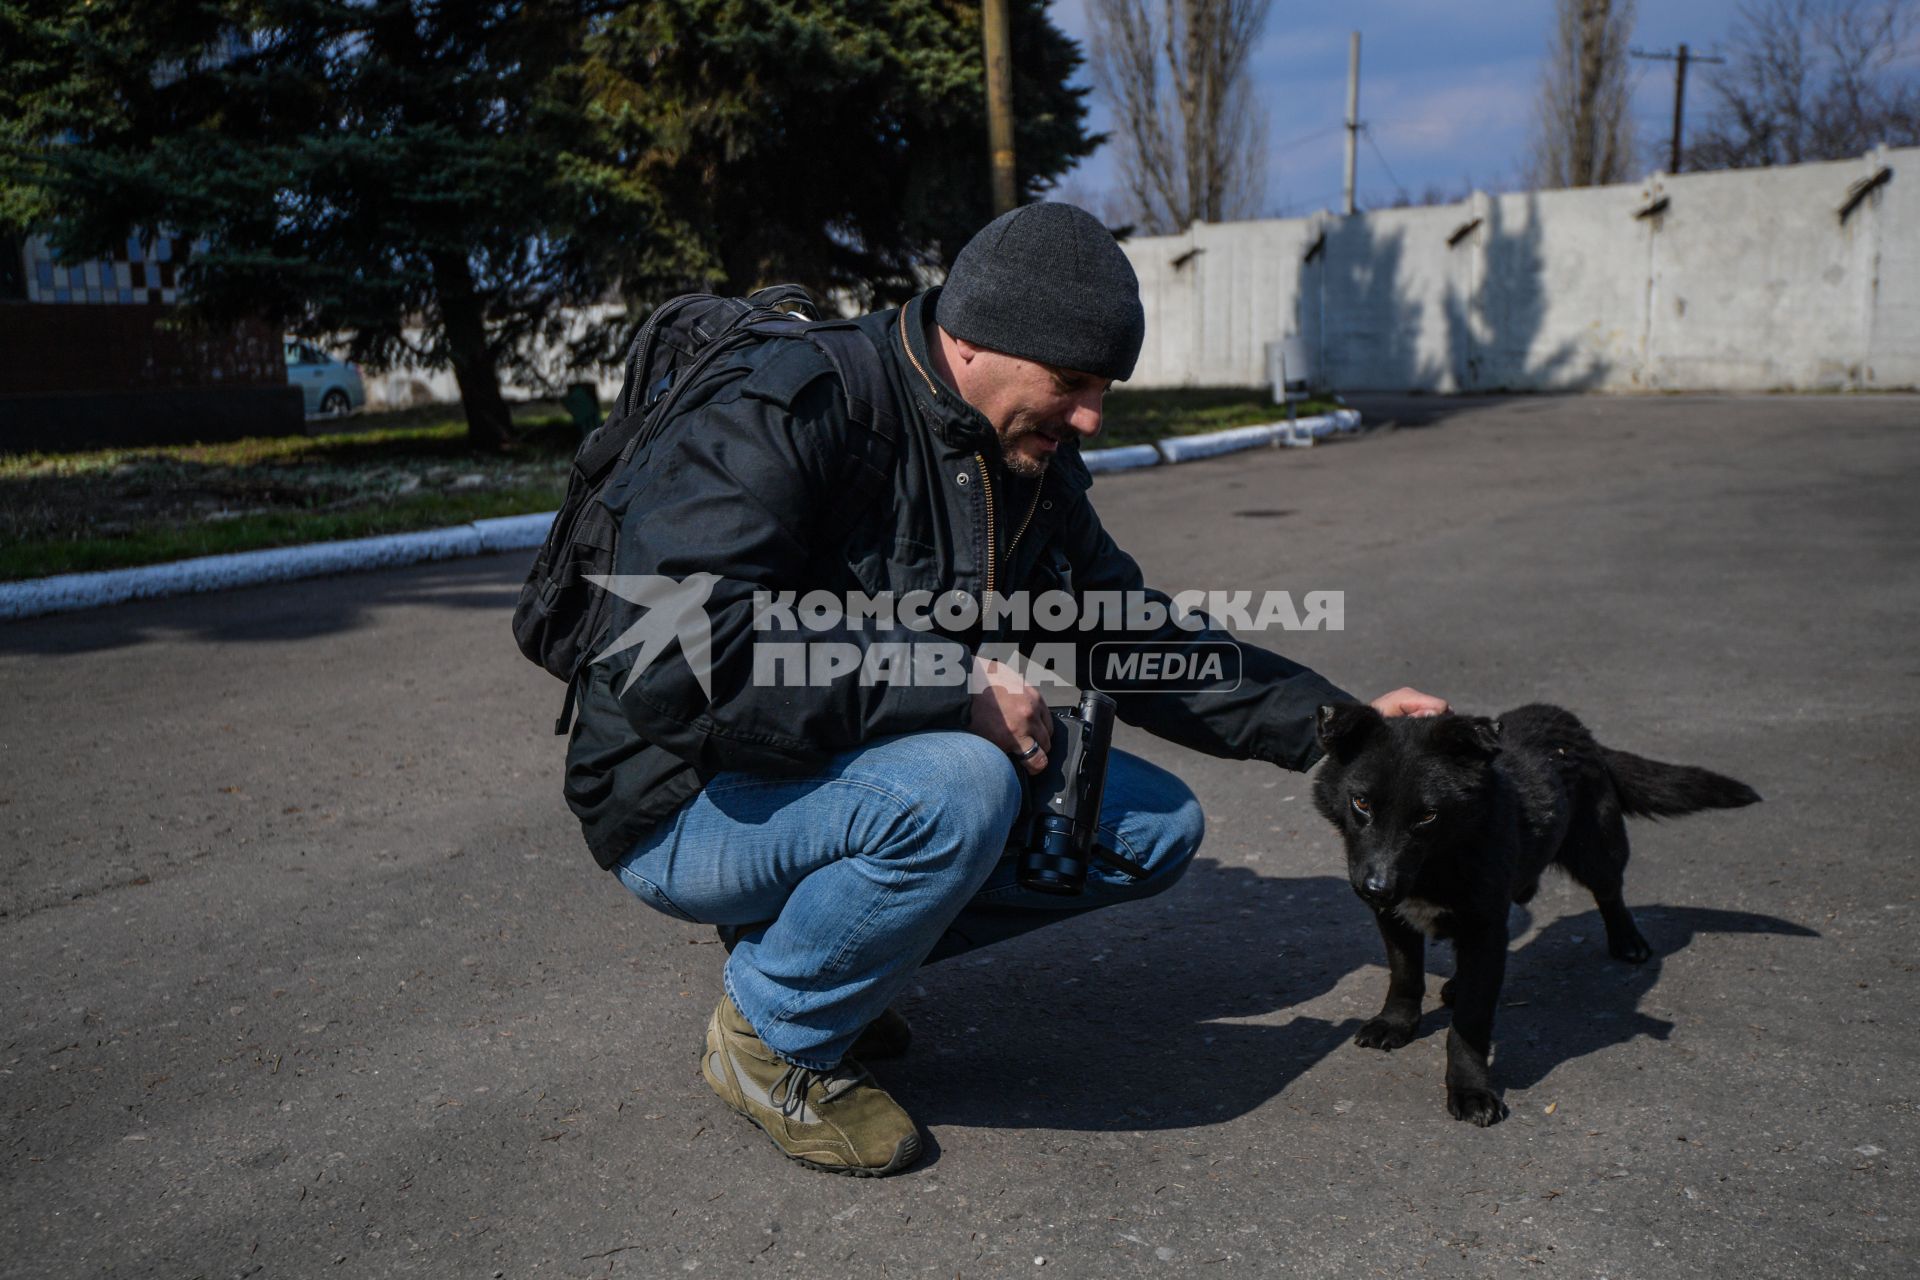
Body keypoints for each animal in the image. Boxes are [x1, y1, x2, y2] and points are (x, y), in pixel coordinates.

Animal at [1313, 706, 1758, 1128]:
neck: (1441, 860)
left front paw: (1470, 1089)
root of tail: (1575, 726)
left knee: (1610, 892)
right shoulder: (1397, 919)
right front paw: (1397, 1023)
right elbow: (1405, 975)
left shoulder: (1484, 928)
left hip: (1597, 849)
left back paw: (1627, 940)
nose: (1376, 889)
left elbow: (1470, 1021)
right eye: (1361, 803)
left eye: (1427, 816)